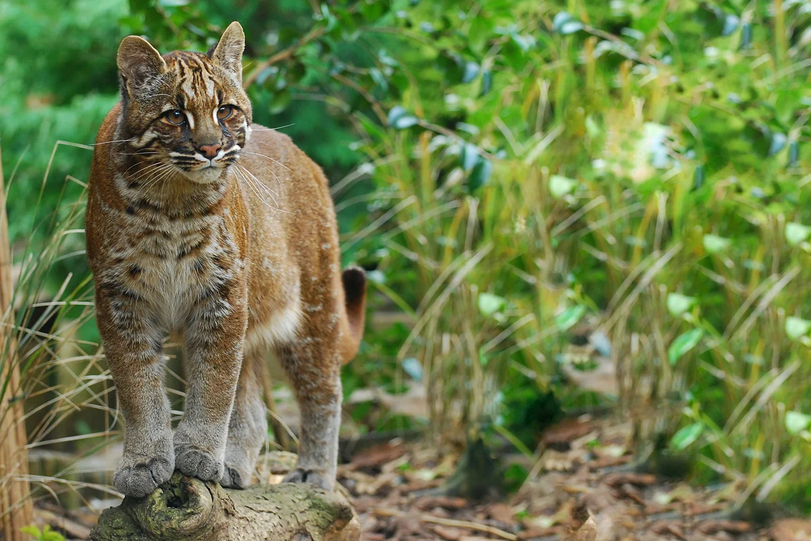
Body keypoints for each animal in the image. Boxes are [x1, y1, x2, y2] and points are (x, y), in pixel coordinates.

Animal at [86, 21, 368, 496]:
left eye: (226, 110)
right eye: (174, 115)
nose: (211, 149)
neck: (171, 202)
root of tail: (303, 155)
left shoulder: (222, 295)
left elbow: (215, 384)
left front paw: (198, 453)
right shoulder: (120, 299)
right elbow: (138, 385)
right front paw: (146, 462)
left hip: (314, 309)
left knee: (324, 391)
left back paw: (313, 475)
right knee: (255, 412)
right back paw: (235, 468)